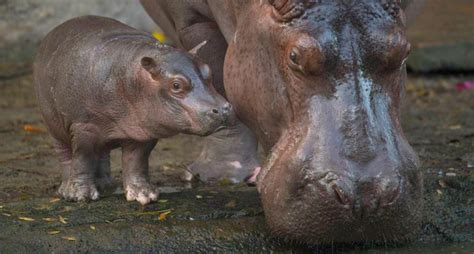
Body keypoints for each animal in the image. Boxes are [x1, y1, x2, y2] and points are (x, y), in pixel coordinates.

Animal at [34, 15, 231, 205]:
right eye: (176, 85)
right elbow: (83, 158)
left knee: (102, 153)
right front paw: (81, 196)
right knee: (66, 156)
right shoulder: (84, 126)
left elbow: (136, 161)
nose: (223, 109)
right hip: (54, 126)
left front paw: (145, 195)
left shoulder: (142, 132)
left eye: (209, 71)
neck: (132, 78)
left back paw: (105, 185)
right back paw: (65, 189)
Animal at [141, 0, 426, 244]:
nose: (365, 197)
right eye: (295, 56)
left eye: (404, 52)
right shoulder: (192, 20)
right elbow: (217, 77)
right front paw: (220, 176)